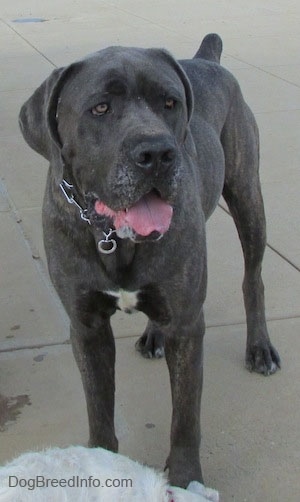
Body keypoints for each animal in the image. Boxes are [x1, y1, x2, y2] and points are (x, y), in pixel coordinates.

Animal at [19, 34, 282, 486]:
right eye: (100, 108)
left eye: (170, 103)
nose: (157, 152)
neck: (114, 237)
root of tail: (206, 59)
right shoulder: (86, 327)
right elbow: (99, 406)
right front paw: (102, 461)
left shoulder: (188, 325)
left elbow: (185, 418)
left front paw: (185, 479)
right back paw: (154, 335)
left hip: (248, 195)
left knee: (254, 279)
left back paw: (259, 347)